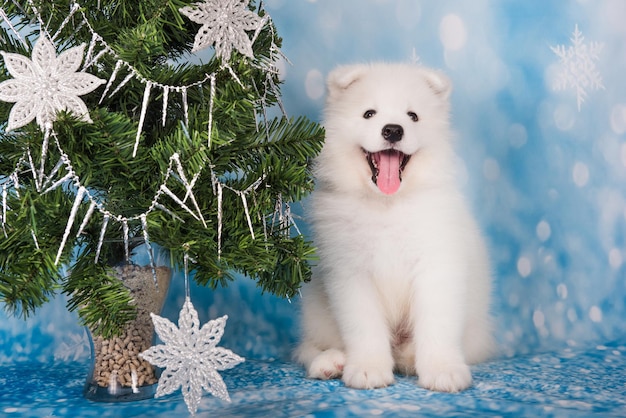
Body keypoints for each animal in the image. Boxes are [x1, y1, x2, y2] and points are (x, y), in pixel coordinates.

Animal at [294, 62, 494, 392]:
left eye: (412, 116)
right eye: (369, 114)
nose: (393, 130)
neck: (387, 205)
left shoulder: (436, 264)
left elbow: (437, 324)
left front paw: (443, 370)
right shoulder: (351, 273)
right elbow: (364, 327)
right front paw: (368, 369)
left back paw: (410, 357)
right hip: (316, 307)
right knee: (306, 347)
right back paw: (330, 361)